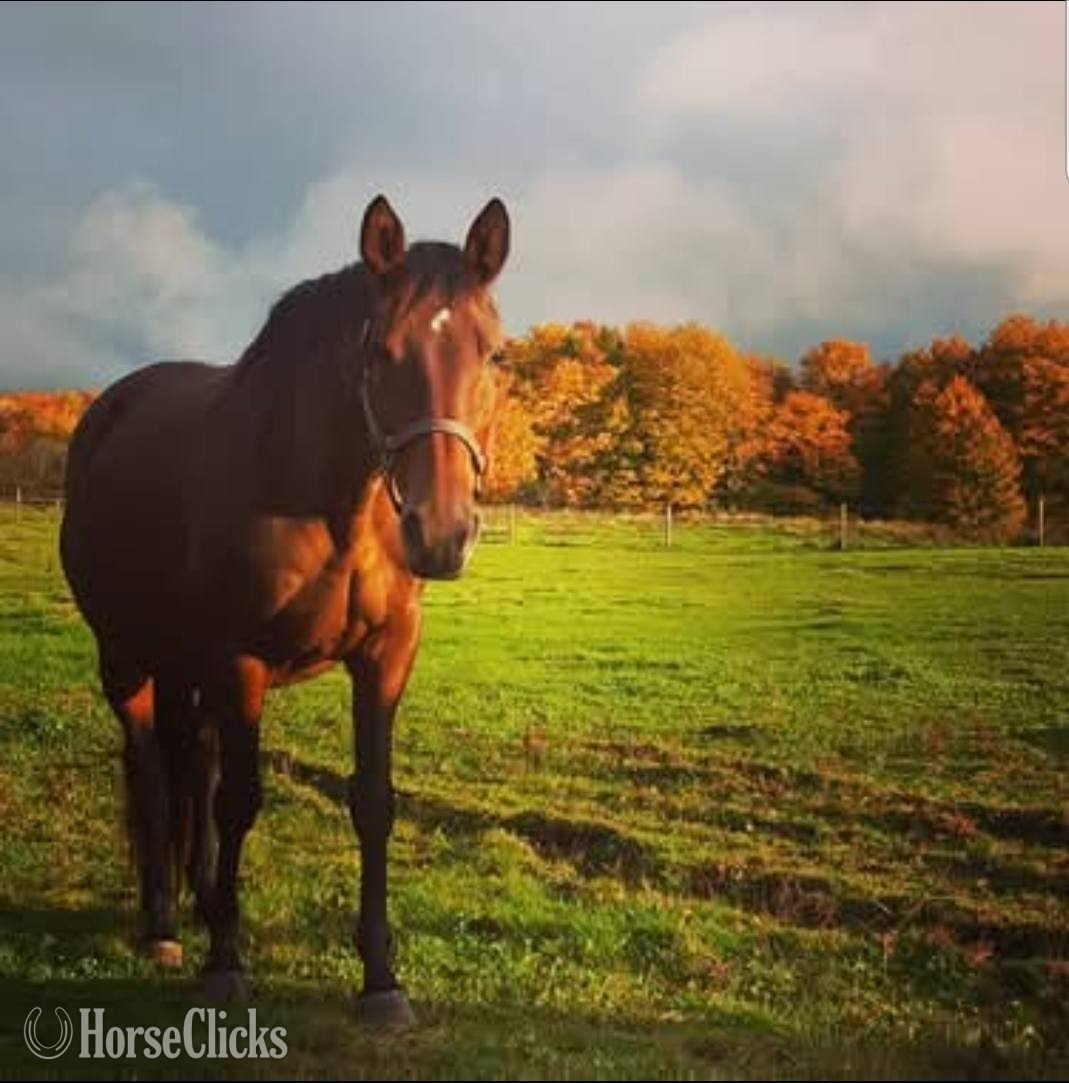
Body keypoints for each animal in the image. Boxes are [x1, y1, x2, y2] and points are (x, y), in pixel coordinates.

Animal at [59, 195, 510, 1025]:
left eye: (495, 356)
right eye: (379, 353)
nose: (441, 531)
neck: (325, 500)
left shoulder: (383, 657)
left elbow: (371, 801)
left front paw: (381, 980)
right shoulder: (239, 659)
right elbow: (239, 799)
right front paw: (226, 964)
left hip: (184, 665)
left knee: (192, 758)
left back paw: (203, 898)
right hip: (126, 655)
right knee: (153, 766)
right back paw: (164, 923)